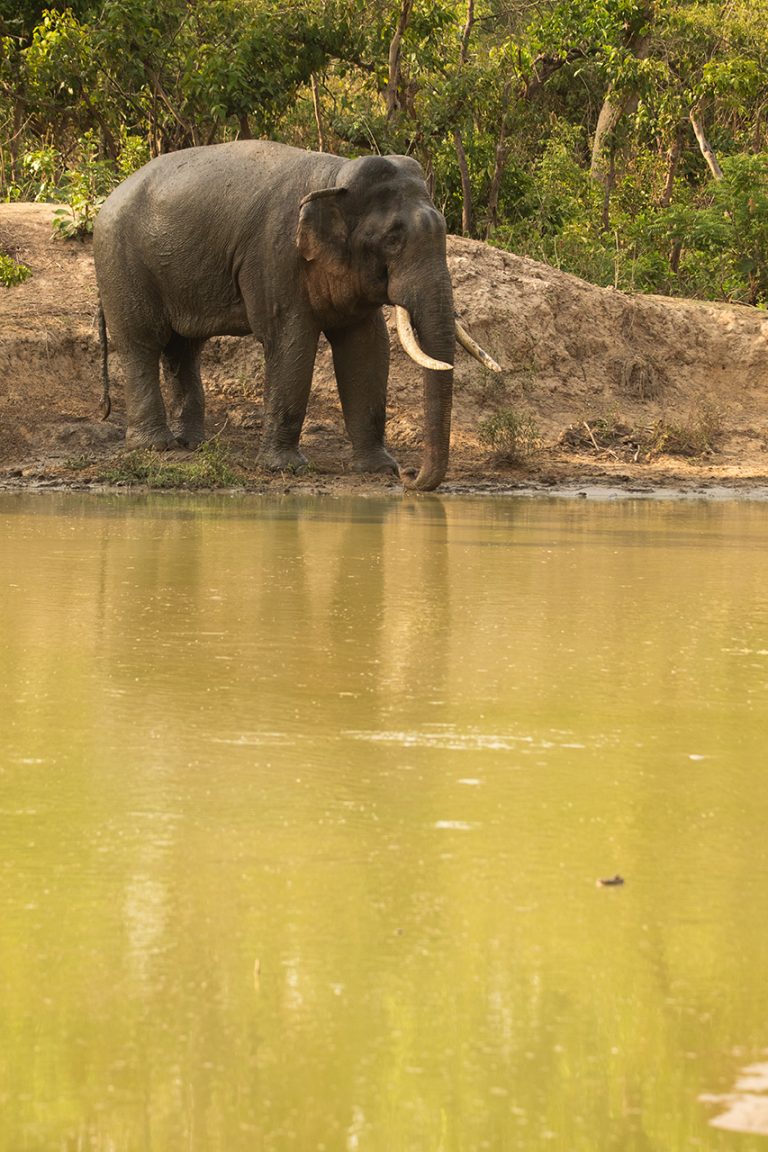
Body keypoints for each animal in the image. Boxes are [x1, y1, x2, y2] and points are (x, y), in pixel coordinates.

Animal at [93, 140, 499, 491]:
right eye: (393, 240)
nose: (409, 476)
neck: (335, 175)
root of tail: (108, 198)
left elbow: (367, 347)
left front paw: (378, 469)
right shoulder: (275, 255)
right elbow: (292, 341)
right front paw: (285, 468)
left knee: (184, 349)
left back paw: (191, 444)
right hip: (121, 263)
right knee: (142, 343)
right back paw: (154, 446)